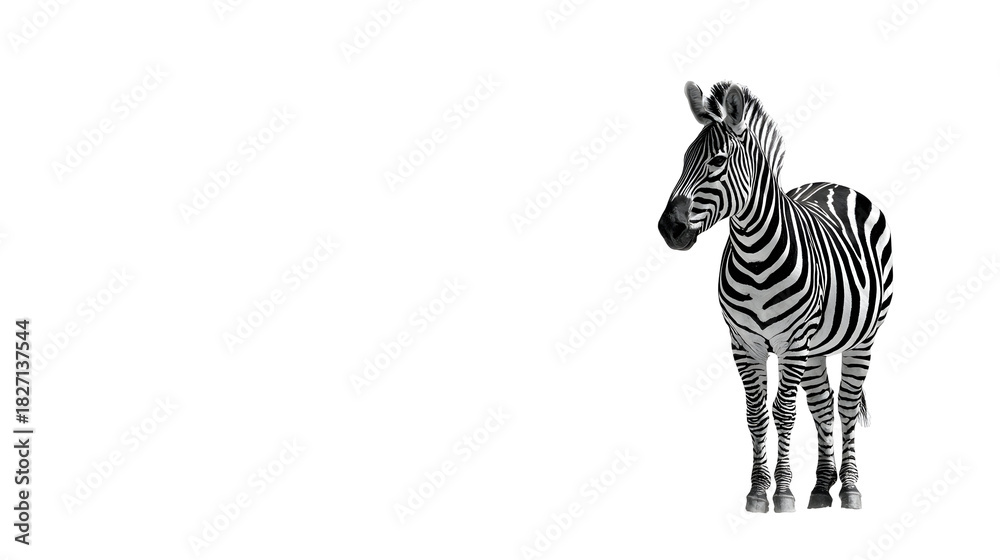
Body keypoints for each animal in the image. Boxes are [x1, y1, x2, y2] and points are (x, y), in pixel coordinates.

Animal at [657, 81, 894, 513]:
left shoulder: (791, 343)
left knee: (846, 406)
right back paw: (821, 488)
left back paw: (850, 489)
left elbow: (783, 413)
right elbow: (756, 416)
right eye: (683, 160)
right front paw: (757, 491)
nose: (669, 228)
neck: (754, 256)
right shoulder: (744, 344)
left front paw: (782, 493)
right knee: (822, 404)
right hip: (817, 346)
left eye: (717, 162)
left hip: (861, 339)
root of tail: (834, 184)